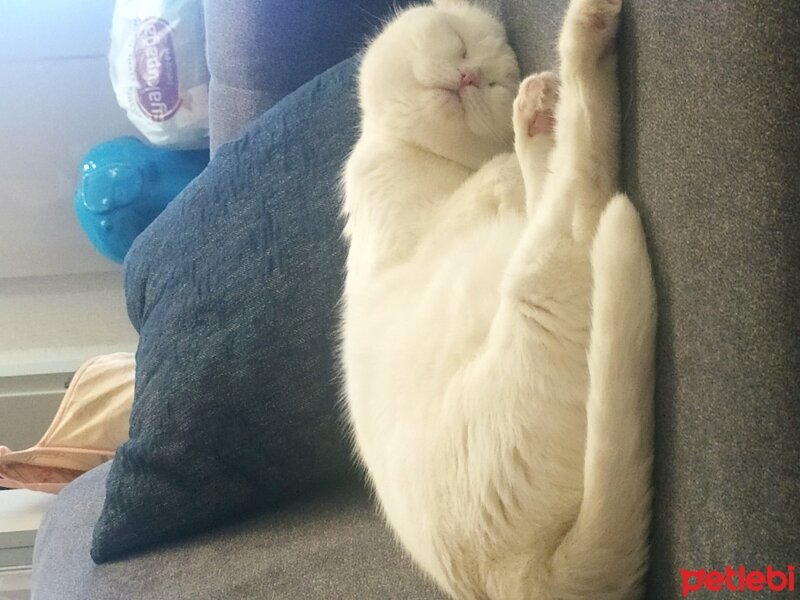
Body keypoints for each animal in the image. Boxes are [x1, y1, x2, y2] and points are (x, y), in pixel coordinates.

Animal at [340, 1, 652, 596]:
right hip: (544, 269)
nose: (467, 77)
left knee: (562, 169)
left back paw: (540, 107)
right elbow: (496, 176)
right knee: (581, 164)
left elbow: (500, 176)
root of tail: (509, 574)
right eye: (460, 45)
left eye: (488, 79)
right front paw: (510, 146)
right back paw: (581, 44)